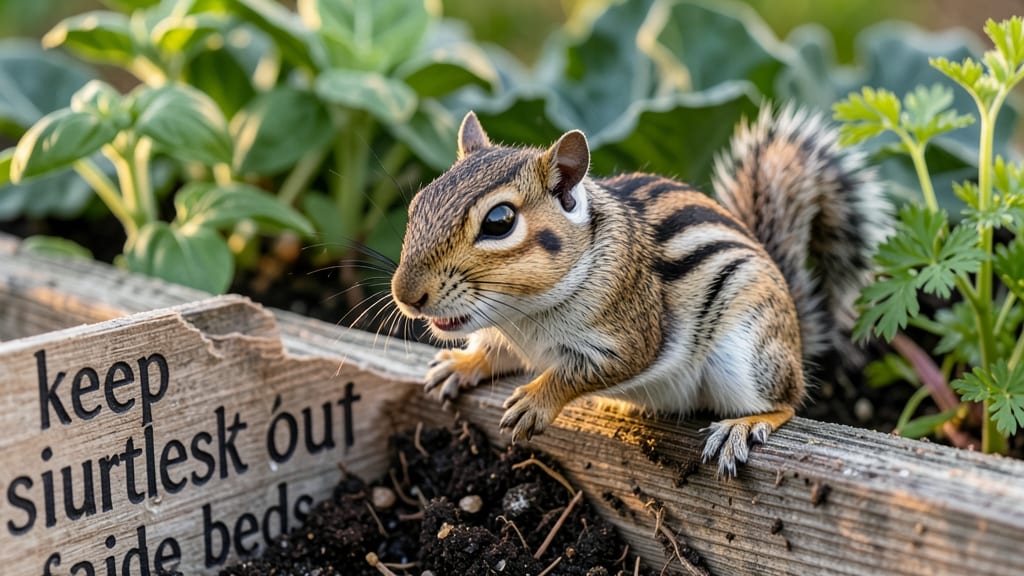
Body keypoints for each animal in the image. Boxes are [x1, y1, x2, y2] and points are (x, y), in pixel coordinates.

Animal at [390, 106, 888, 476]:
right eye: (417, 204)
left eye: (500, 222)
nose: (406, 295)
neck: (522, 316)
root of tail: (796, 332)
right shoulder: (504, 334)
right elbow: (492, 352)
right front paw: (460, 365)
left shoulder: (631, 331)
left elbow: (579, 373)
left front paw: (535, 400)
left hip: (747, 353)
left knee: (787, 401)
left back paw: (744, 425)